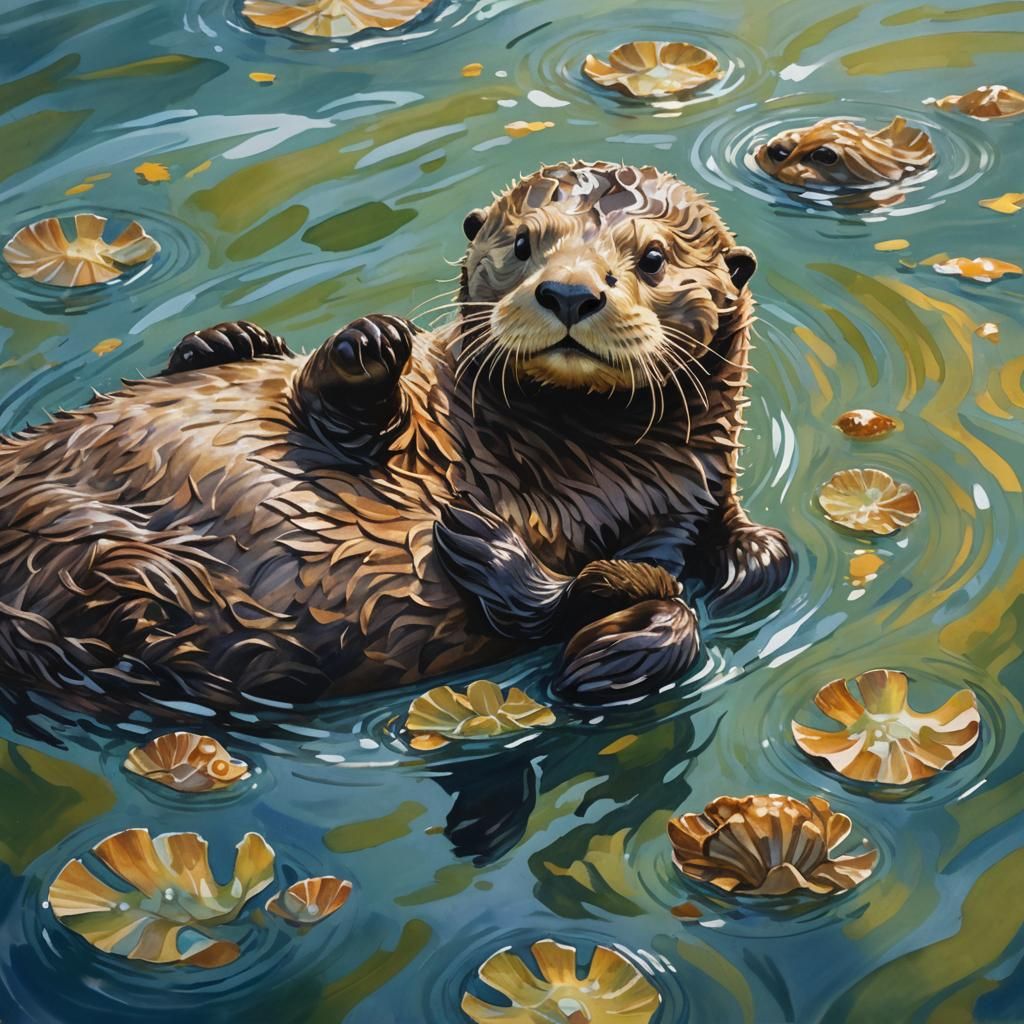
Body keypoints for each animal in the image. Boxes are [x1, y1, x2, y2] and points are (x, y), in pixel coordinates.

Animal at [0, 161, 791, 711]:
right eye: (524, 244)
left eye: (652, 259)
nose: (568, 293)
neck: (528, 442)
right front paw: (342, 342)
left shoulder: (670, 519)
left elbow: (681, 585)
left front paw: (490, 549)